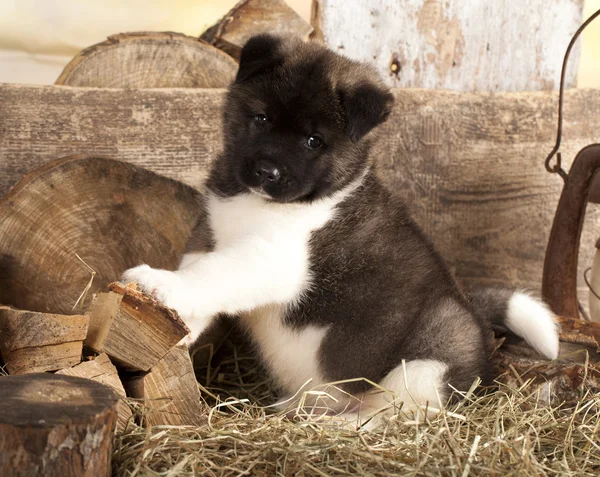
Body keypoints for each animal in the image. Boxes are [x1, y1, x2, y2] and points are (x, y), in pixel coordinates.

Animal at [124, 34, 560, 424]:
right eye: (261, 118)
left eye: (314, 141)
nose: (266, 171)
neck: (264, 204)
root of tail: (476, 320)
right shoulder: (210, 233)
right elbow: (203, 276)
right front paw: (175, 324)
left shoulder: (275, 259)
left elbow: (212, 274)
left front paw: (159, 283)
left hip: (427, 360)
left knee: (393, 415)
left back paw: (341, 423)